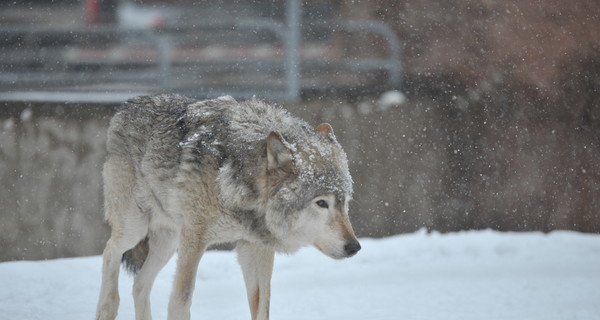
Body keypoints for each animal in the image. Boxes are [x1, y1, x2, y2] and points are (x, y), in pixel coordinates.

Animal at [95, 94, 358, 318]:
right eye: (321, 203)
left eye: (344, 203)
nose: (354, 247)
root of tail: (128, 105)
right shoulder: (194, 240)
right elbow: (180, 301)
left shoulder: (255, 247)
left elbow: (262, 307)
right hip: (135, 229)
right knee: (110, 252)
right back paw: (107, 307)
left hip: (167, 243)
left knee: (139, 284)